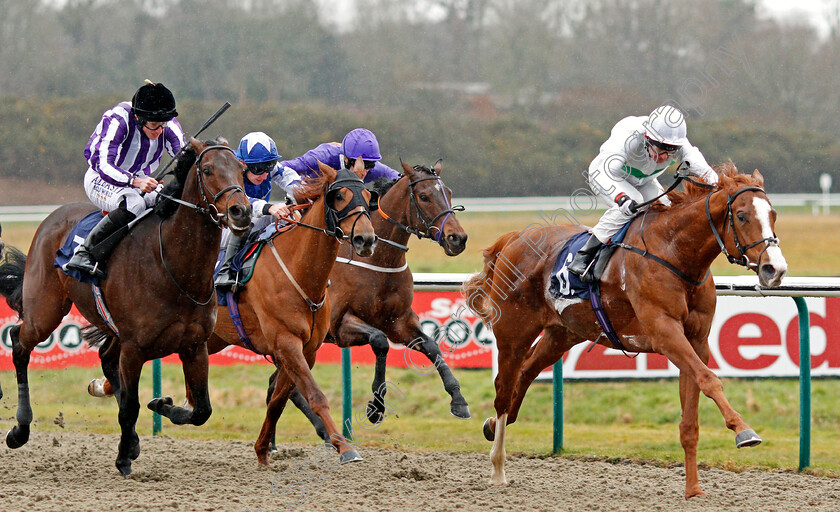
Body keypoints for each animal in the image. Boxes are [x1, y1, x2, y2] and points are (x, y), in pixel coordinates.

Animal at [0, 137, 251, 476]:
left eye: (241, 168)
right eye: (208, 170)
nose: (241, 211)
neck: (174, 266)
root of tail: (52, 219)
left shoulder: (195, 345)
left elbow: (202, 410)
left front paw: (160, 406)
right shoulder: (135, 348)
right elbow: (130, 406)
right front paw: (122, 458)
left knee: (106, 358)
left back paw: (131, 439)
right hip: (45, 310)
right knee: (19, 343)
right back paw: (19, 430)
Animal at [466, 165, 788, 500]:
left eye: (773, 214)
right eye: (742, 215)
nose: (775, 269)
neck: (675, 252)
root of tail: (514, 238)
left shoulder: (695, 342)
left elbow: (691, 416)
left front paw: (693, 489)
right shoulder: (664, 332)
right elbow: (710, 380)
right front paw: (744, 431)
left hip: (562, 333)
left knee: (526, 372)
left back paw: (492, 426)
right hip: (513, 332)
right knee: (503, 389)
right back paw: (498, 467)